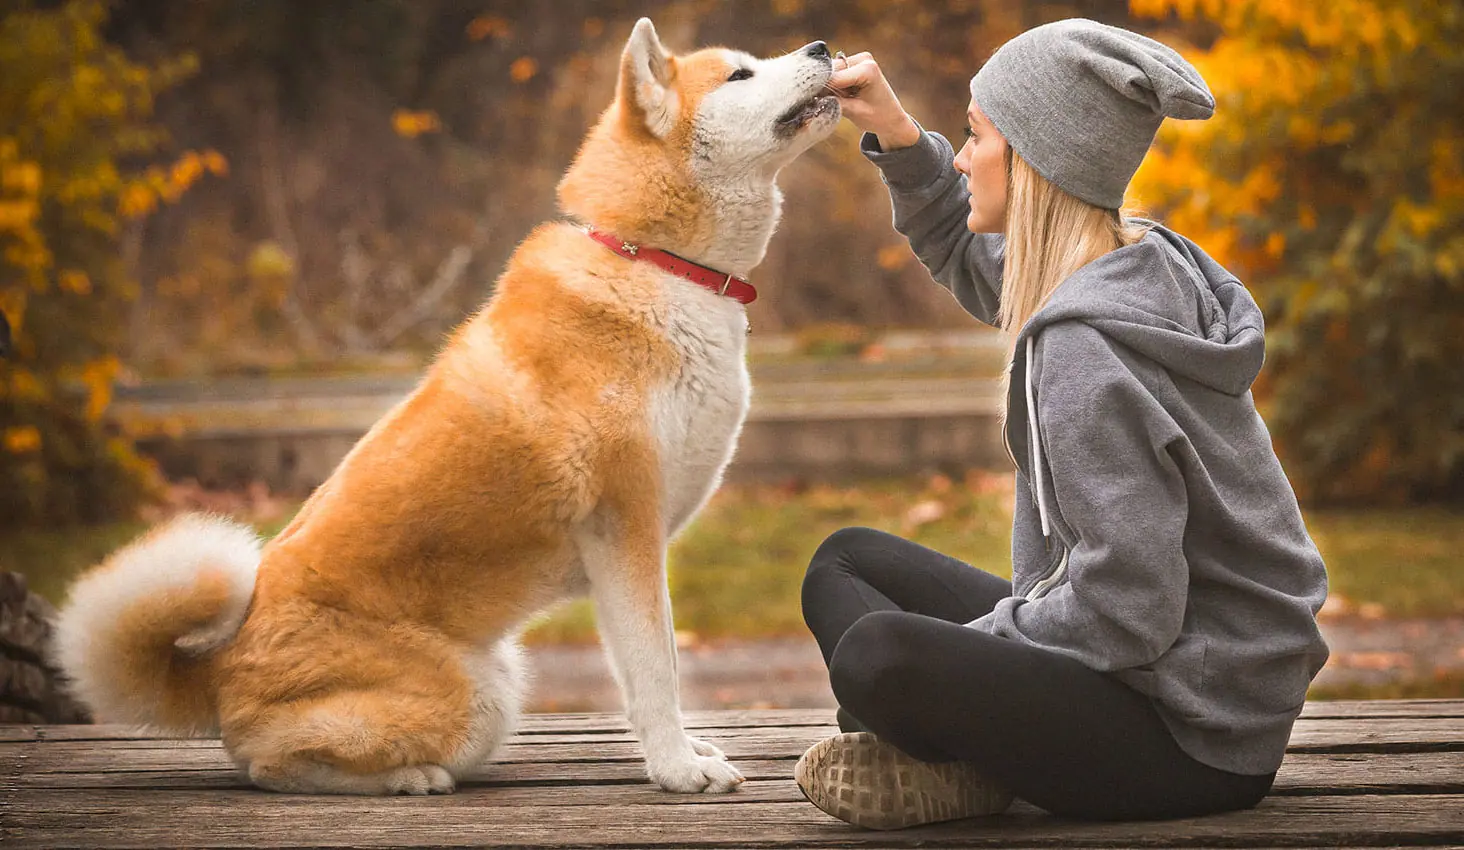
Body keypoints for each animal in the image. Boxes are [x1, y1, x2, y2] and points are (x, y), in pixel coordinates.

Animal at [51, 19, 843, 795]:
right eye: (739, 73)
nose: (822, 47)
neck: (655, 262)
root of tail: (218, 669)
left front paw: (686, 755)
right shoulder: (626, 530)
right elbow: (656, 670)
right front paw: (678, 769)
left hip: (502, 676)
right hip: (477, 698)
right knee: (268, 763)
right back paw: (410, 777)